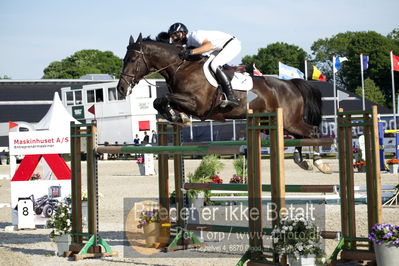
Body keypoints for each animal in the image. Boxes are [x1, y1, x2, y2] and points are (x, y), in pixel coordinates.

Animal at [117, 34, 332, 174]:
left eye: (133, 59)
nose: (121, 88)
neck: (181, 67)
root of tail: (290, 84)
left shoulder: (198, 104)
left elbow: (161, 99)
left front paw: (178, 117)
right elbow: (160, 102)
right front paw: (179, 117)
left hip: (289, 120)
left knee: (312, 132)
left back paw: (319, 163)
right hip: (273, 122)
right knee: (300, 137)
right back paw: (301, 161)